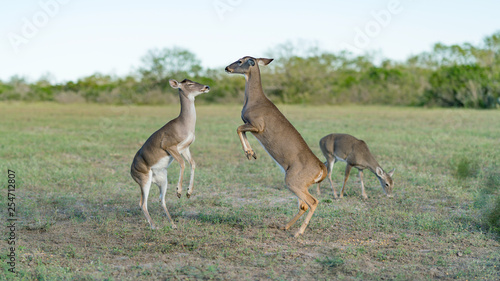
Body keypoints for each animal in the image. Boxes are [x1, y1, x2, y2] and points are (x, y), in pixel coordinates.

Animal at [130, 78, 210, 228]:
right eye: (189, 84)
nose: (206, 87)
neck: (185, 124)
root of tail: (131, 171)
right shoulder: (169, 146)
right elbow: (183, 163)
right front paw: (179, 191)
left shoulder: (184, 148)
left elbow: (193, 163)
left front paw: (188, 193)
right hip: (144, 180)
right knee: (142, 203)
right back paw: (154, 226)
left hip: (162, 180)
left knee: (161, 199)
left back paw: (173, 224)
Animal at [226, 55, 328, 235]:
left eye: (240, 61)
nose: (227, 68)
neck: (255, 100)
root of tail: (321, 169)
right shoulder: (250, 125)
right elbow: (240, 130)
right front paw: (251, 153)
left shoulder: (258, 125)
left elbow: (238, 128)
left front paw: (249, 153)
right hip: (300, 184)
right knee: (303, 205)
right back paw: (285, 226)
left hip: (293, 180)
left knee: (312, 202)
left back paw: (298, 232)